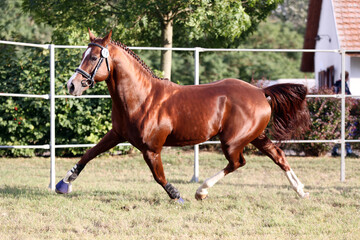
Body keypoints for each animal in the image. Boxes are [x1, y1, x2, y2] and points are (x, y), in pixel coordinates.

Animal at [56, 30, 310, 202]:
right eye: (83, 55)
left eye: (93, 57)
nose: (71, 85)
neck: (142, 98)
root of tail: (260, 92)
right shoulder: (117, 134)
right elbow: (89, 154)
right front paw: (63, 183)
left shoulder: (151, 149)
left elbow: (159, 176)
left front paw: (177, 196)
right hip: (255, 136)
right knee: (277, 155)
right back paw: (301, 190)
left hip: (232, 141)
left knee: (238, 162)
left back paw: (201, 191)